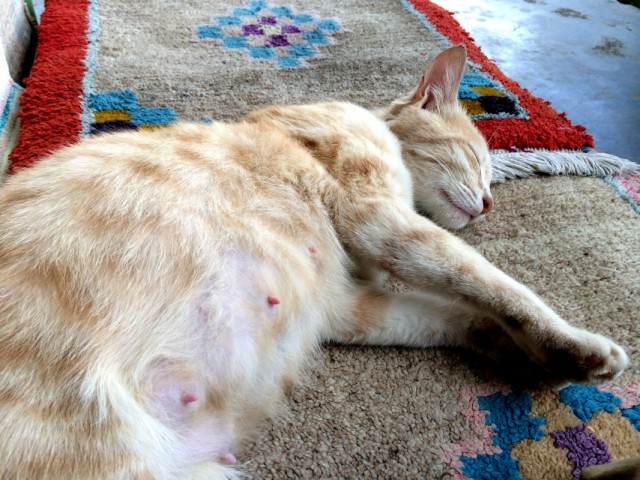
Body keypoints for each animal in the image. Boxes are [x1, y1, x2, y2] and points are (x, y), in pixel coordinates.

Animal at [0, 46, 629, 479]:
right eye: (477, 160)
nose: (491, 202)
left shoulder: (345, 306)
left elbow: (454, 315)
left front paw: (533, 358)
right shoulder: (379, 220)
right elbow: (492, 283)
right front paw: (579, 346)